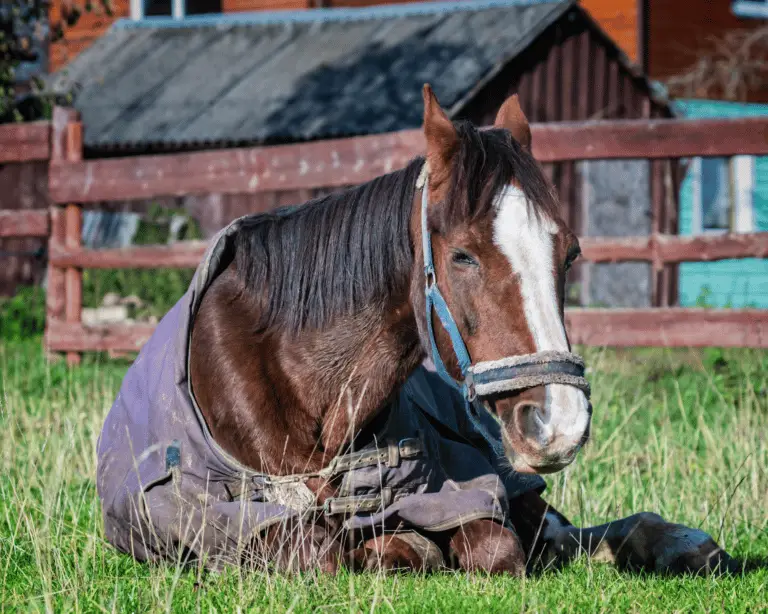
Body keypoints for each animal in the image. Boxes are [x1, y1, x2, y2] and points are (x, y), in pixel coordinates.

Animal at [97, 84, 736, 575]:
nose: (560, 423)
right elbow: (326, 552)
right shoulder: (243, 523)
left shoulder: (467, 489)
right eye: (462, 256)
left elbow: (496, 544)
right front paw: (398, 545)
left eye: (571, 252)